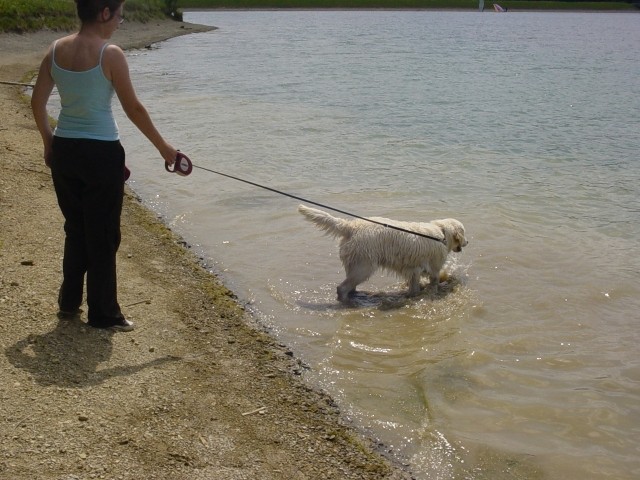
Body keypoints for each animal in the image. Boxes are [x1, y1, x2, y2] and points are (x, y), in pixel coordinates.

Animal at [298, 204, 468, 302]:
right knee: (342, 288)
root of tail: (350, 226)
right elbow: (435, 281)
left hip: (354, 266)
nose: (467, 242)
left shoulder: (413, 270)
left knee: (349, 286)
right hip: (364, 267)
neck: (441, 233)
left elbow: (414, 287)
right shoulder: (434, 268)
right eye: (464, 233)